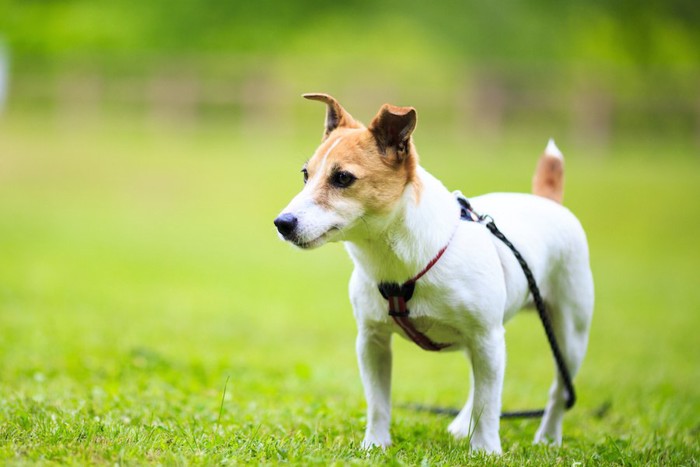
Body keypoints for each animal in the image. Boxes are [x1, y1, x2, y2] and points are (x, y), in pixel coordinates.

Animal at [274, 93, 592, 456]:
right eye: (305, 174)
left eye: (342, 178)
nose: (282, 223)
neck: (403, 264)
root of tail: (547, 200)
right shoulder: (372, 340)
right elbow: (378, 401)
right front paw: (375, 444)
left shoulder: (487, 337)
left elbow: (489, 403)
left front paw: (485, 449)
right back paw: (462, 424)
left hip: (569, 335)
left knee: (555, 391)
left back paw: (548, 438)